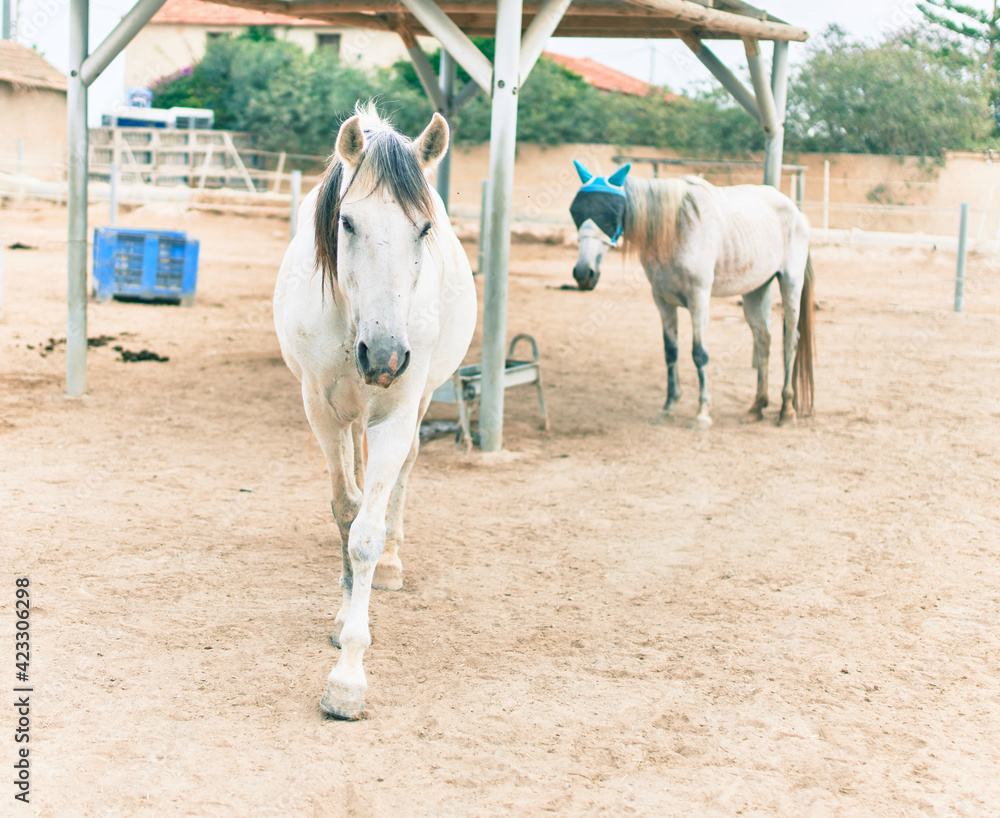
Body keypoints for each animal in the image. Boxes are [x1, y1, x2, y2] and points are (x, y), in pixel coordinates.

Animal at [273, 104, 477, 719]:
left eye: (424, 228)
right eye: (347, 222)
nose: (384, 356)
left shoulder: (397, 413)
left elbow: (367, 531)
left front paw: (348, 679)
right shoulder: (321, 412)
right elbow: (346, 510)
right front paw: (343, 620)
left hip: (418, 401)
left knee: (402, 475)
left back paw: (390, 565)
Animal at [569, 160, 814, 427]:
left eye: (611, 213)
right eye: (575, 212)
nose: (583, 273)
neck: (676, 229)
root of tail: (796, 211)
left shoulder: (699, 299)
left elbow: (699, 353)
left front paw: (702, 413)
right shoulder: (662, 301)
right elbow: (670, 352)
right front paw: (668, 408)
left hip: (791, 283)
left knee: (790, 340)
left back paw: (786, 410)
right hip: (754, 291)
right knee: (763, 340)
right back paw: (757, 406)